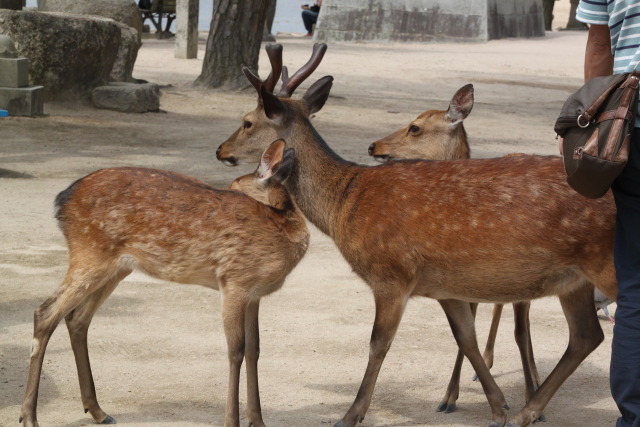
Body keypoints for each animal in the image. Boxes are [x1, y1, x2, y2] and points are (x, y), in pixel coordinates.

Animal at [20, 141, 310, 427]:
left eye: (233, 186)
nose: (224, 191)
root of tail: (61, 200)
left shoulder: (254, 294)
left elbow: (254, 348)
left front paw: (257, 421)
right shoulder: (233, 281)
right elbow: (235, 350)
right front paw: (232, 421)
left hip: (115, 265)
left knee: (77, 318)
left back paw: (98, 411)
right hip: (90, 252)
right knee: (46, 313)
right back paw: (29, 417)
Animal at [216, 41, 620, 427]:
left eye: (247, 122)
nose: (221, 149)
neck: (345, 204)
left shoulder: (391, 273)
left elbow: (378, 343)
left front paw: (350, 415)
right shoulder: (446, 285)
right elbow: (467, 339)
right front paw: (498, 408)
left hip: (607, 266)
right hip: (574, 279)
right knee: (586, 335)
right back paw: (526, 412)